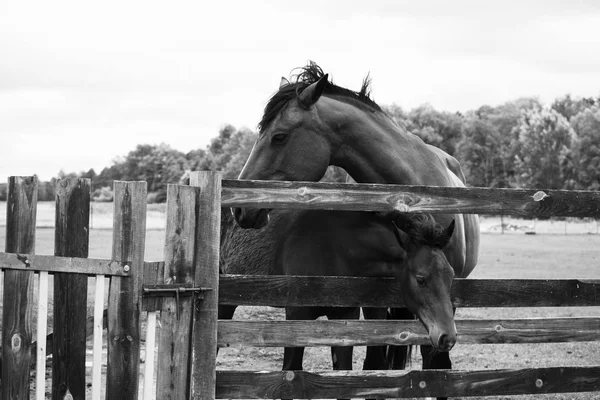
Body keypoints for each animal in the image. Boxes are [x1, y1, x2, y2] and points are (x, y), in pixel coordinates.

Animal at [232, 62, 480, 396]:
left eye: (279, 137)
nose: (240, 208)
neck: (411, 191)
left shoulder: (445, 297)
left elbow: (436, 363)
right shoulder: (374, 298)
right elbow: (374, 360)